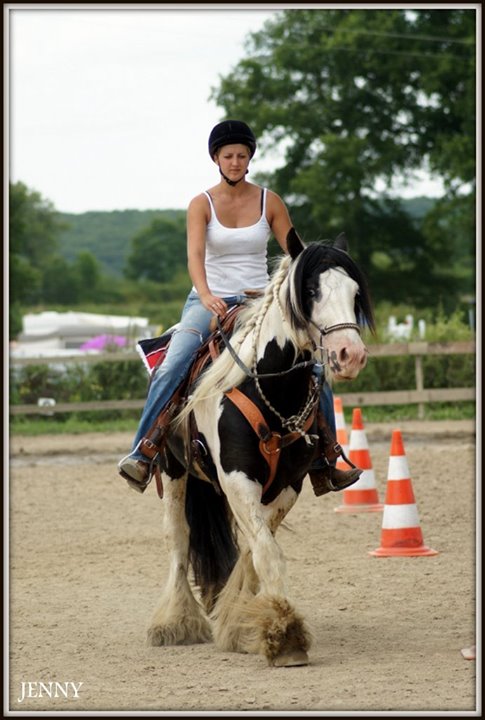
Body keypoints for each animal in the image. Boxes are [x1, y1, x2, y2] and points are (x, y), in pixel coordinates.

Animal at [147, 228, 374, 668]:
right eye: (310, 290)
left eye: (355, 293)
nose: (350, 355)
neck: (271, 387)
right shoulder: (237, 477)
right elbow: (267, 553)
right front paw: (285, 637)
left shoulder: (287, 484)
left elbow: (256, 548)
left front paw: (238, 619)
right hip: (172, 468)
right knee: (179, 538)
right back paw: (174, 622)